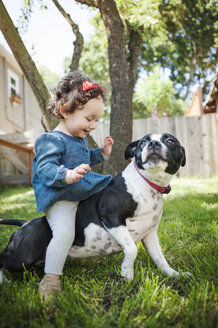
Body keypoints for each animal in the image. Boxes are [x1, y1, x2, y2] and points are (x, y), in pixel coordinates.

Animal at [0, 134, 188, 284]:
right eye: (143, 142)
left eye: (170, 141)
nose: (153, 143)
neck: (146, 183)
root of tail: (25, 224)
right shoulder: (111, 217)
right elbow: (131, 249)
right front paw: (127, 273)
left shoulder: (150, 234)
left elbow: (160, 258)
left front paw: (174, 274)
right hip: (23, 257)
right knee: (1, 259)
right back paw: (4, 282)